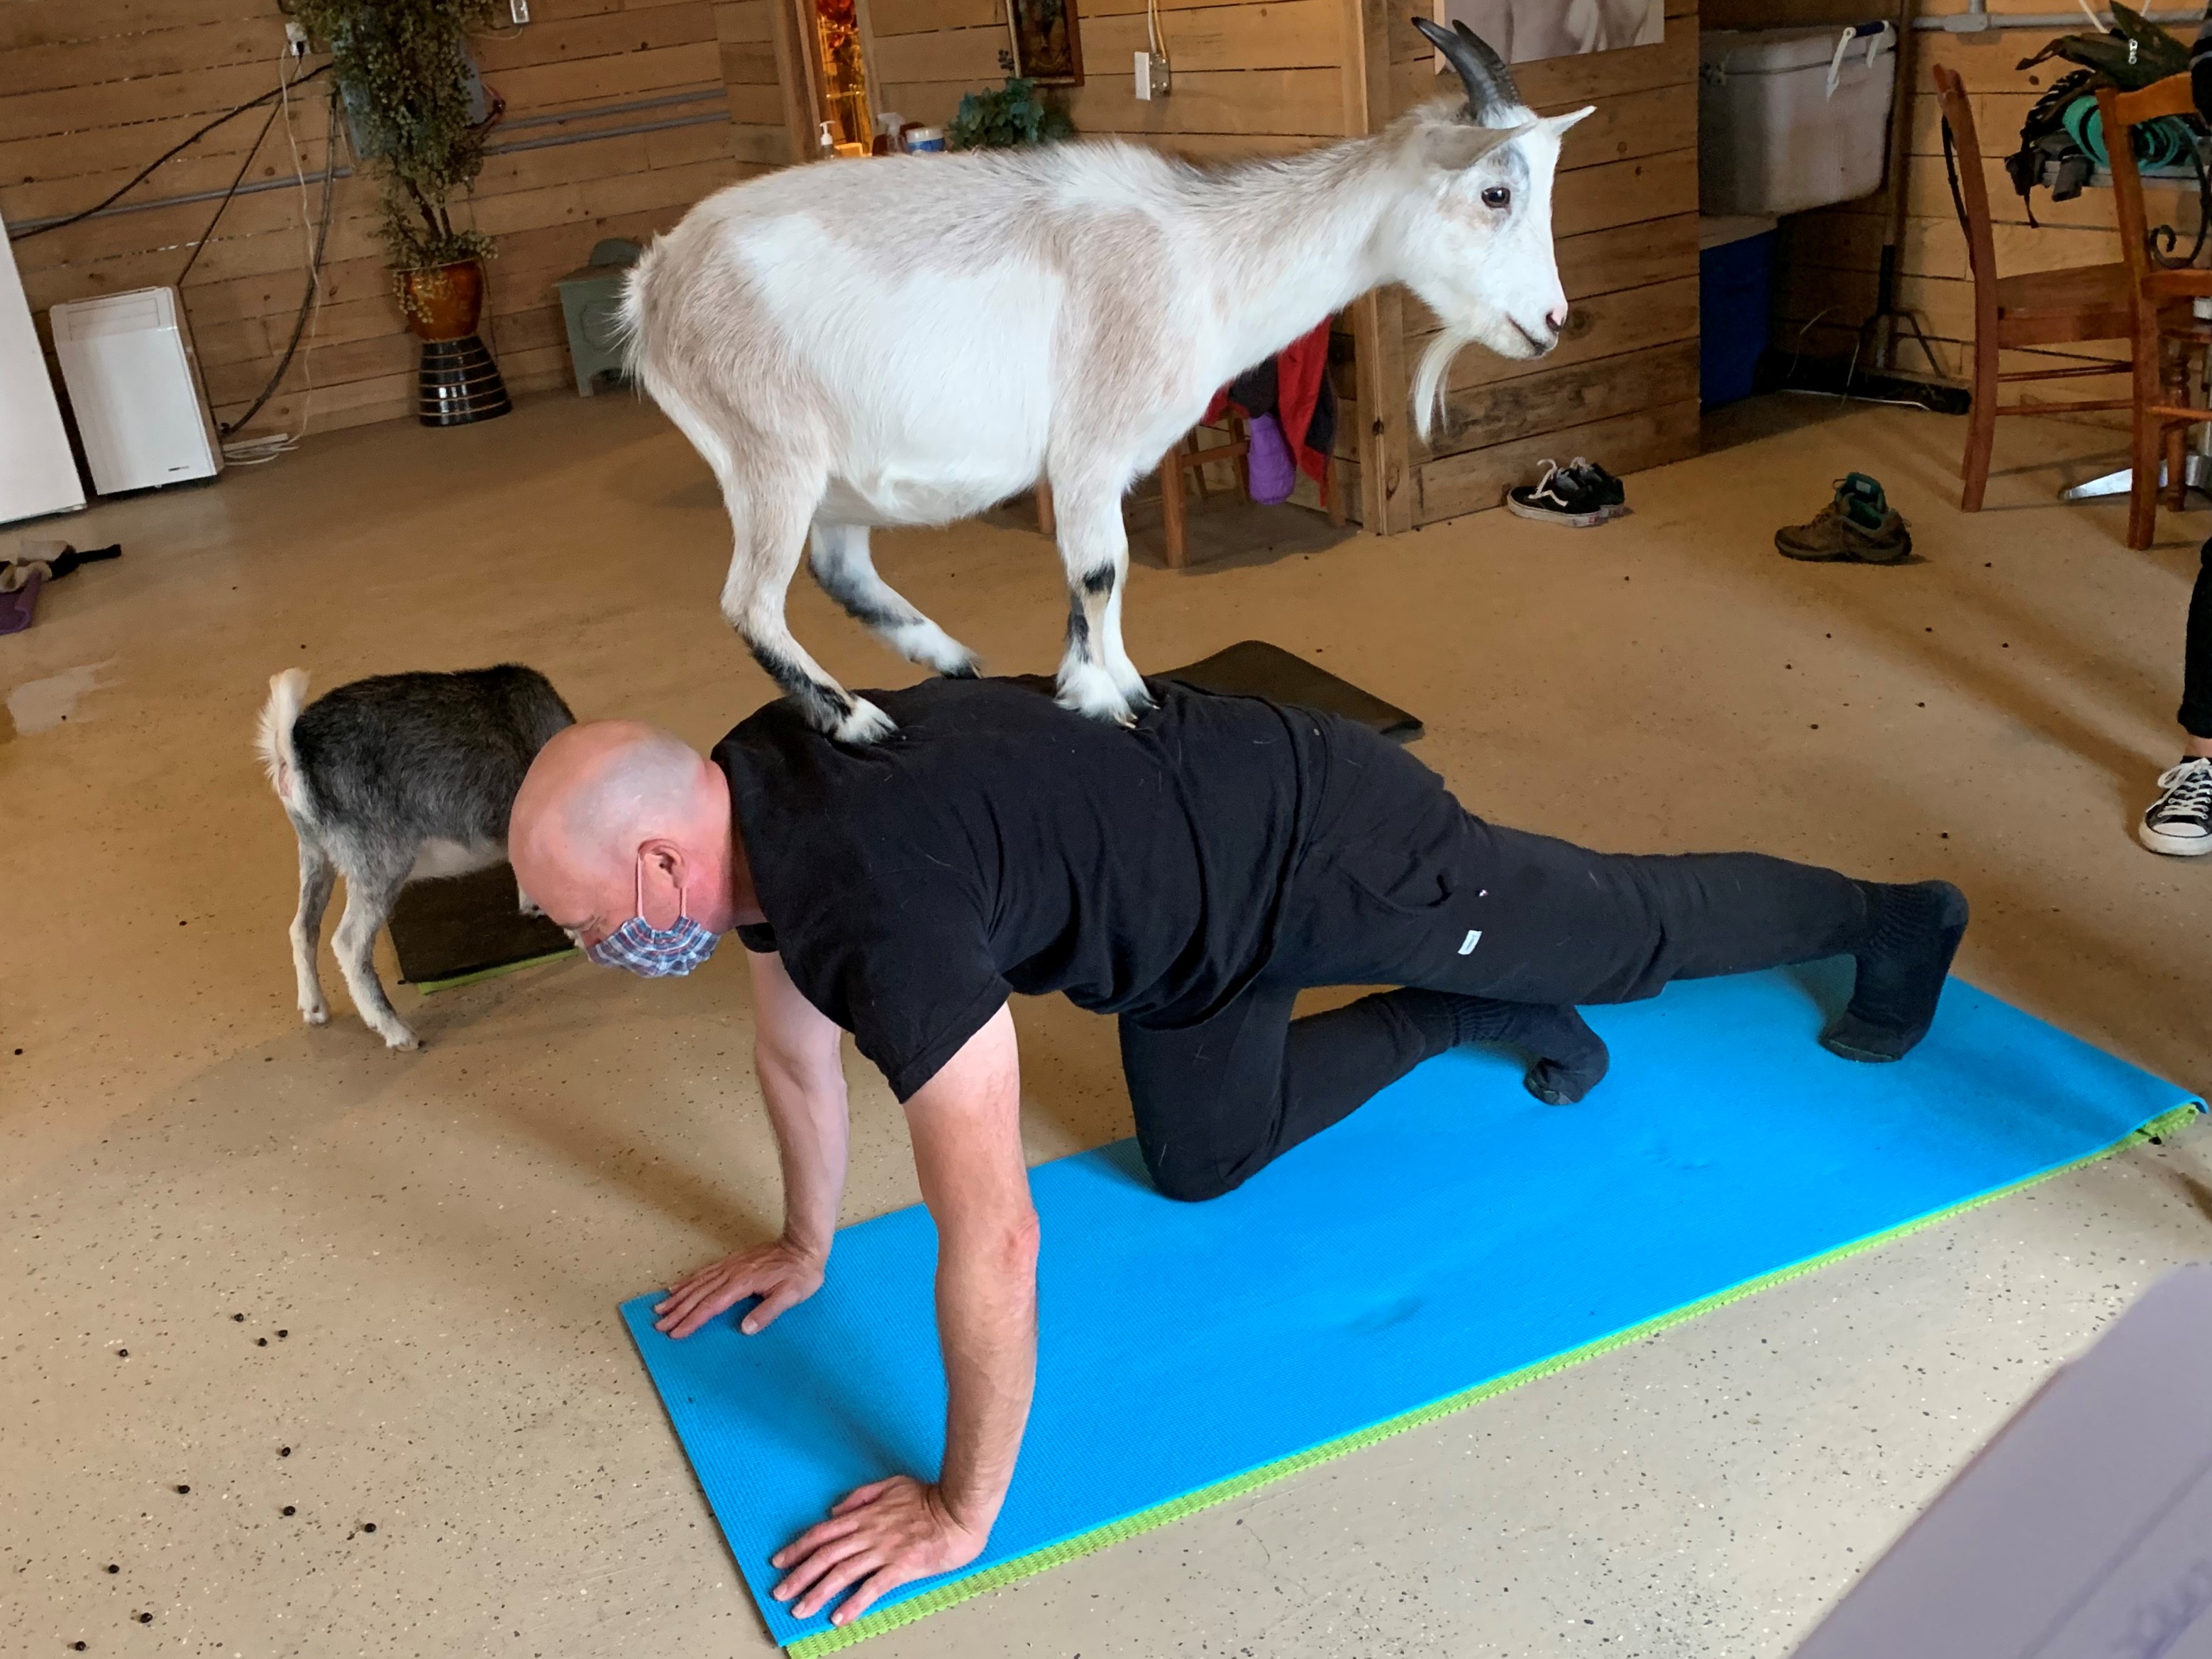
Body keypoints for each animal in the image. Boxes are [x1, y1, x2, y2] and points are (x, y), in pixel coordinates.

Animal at [256, 668, 579, 1044]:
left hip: (314, 853)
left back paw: (315, 1008)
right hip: (381, 862)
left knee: (303, 927)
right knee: (349, 943)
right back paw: (395, 1030)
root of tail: (294, 753)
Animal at [624, 22, 1592, 739]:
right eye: (1496, 193)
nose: (1550, 320)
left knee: (837, 568)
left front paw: (1121, 684)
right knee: (751, 599)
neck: (1202, 256)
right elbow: (1099, 570)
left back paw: (950, 657)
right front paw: (1105, 698)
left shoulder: (1115, 461)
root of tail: (656, 283)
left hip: (837, 475)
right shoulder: (1088, 447)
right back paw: (856, 716)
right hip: (771, 453)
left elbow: (1112, 576)